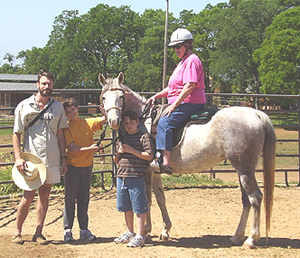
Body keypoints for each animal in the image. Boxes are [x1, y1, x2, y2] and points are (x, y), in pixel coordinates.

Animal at [99, 71, 276, 249]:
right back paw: (237, 236)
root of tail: (257, 114)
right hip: (242, 170)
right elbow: (160, 197)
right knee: (246, 200)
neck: (143, 121)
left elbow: (147, 200)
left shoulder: (146, 170)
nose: (114, 121)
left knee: (255, 198)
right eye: (104, 97)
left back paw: (251, 239)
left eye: (121, 96)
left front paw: (146, 231)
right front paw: (165, 230)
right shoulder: (155, 171)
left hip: (244, 168)